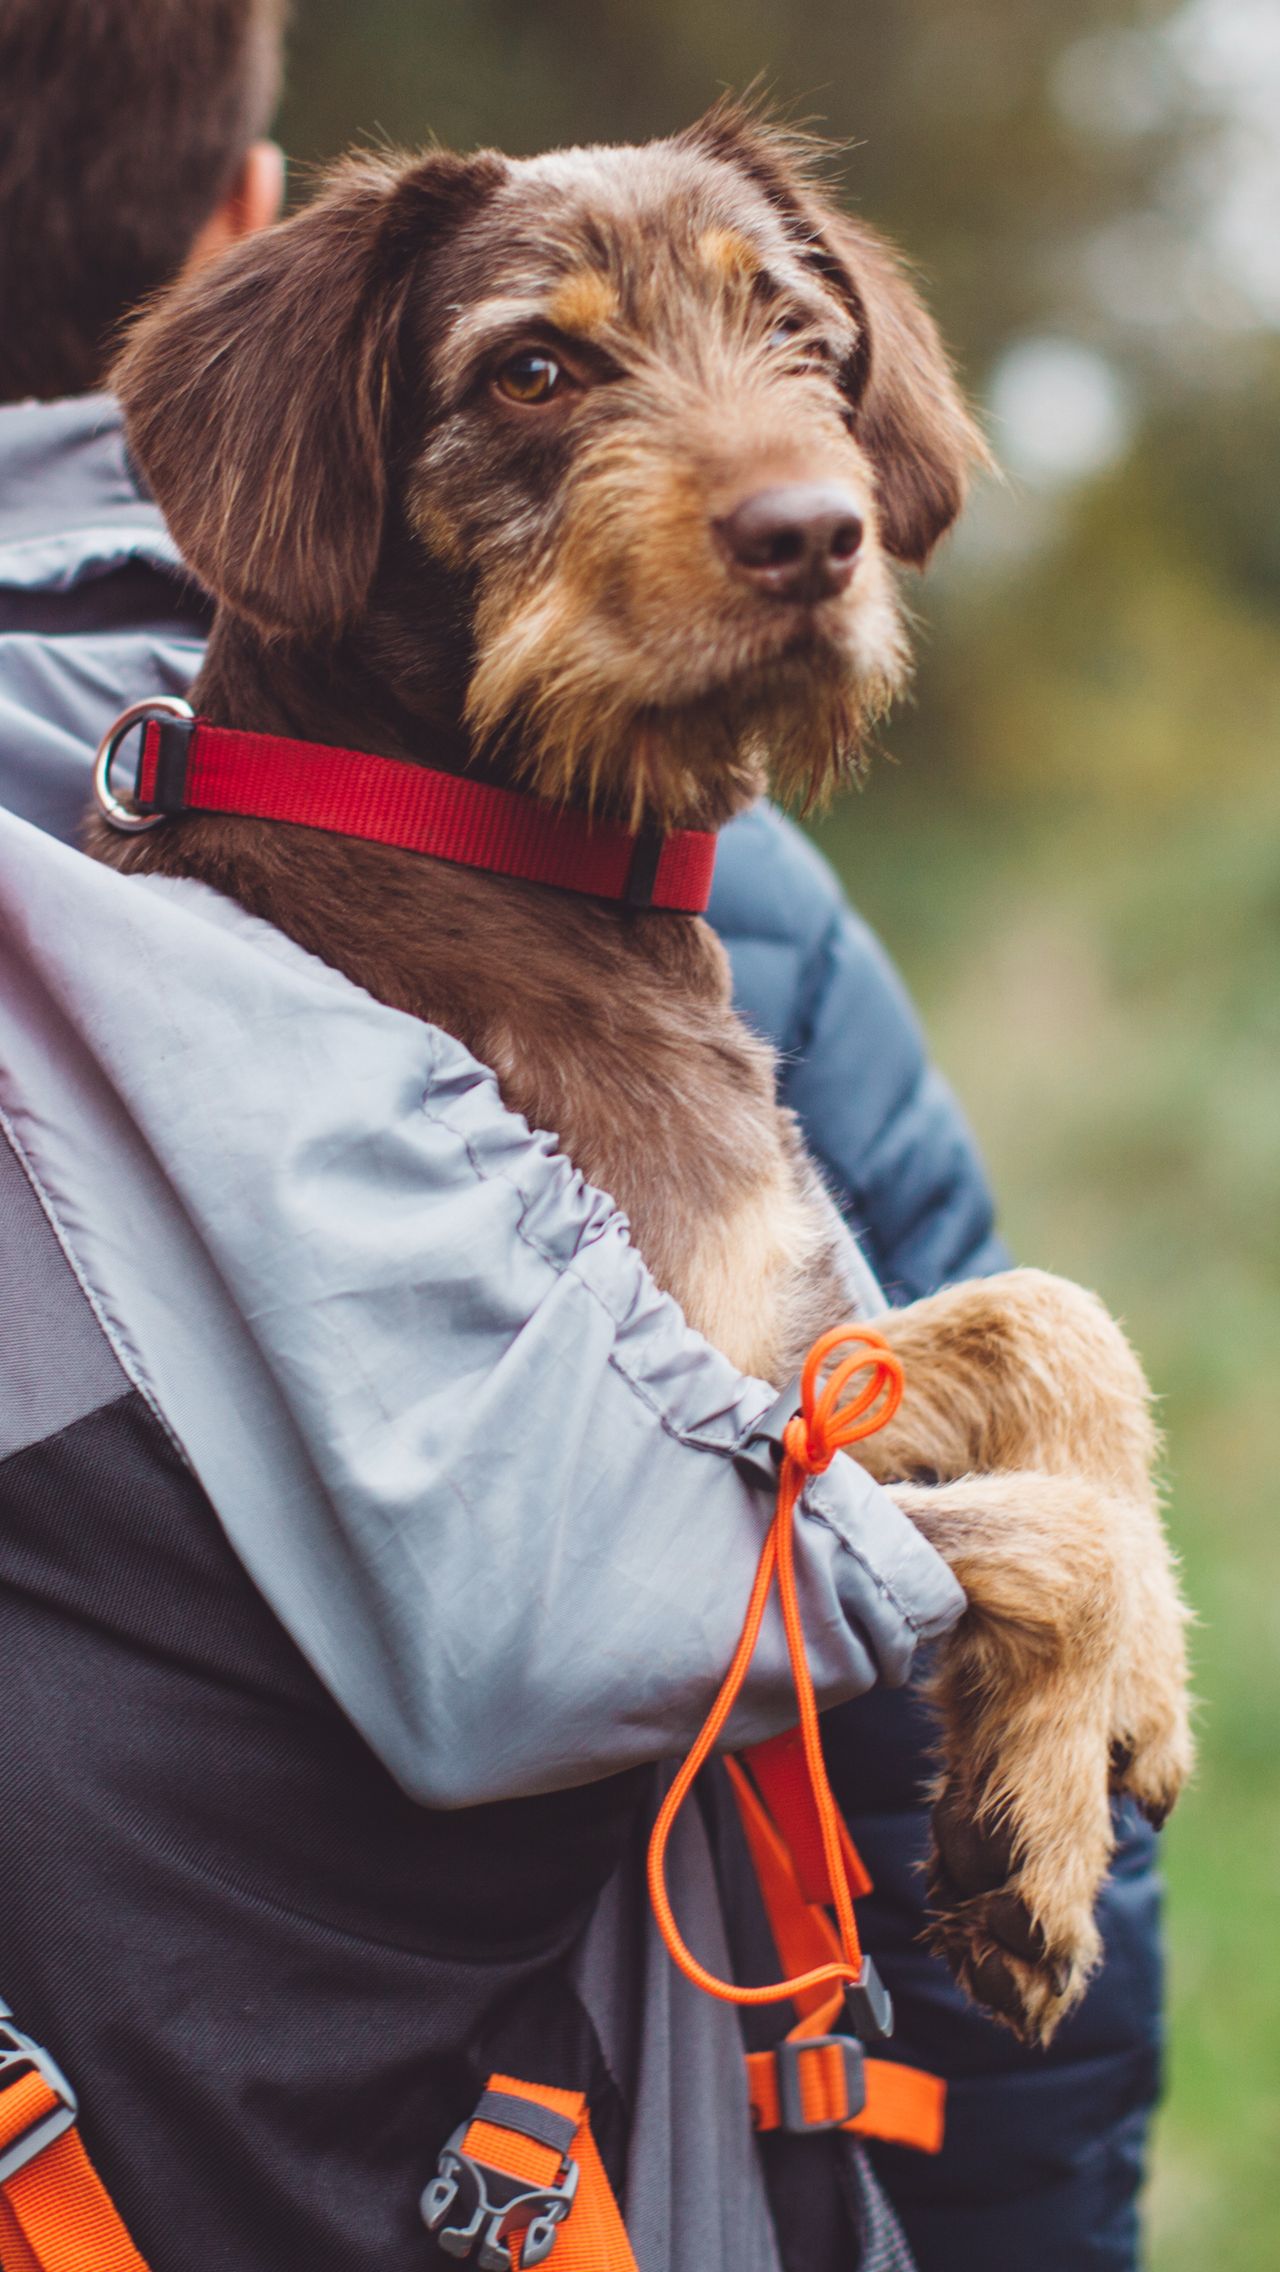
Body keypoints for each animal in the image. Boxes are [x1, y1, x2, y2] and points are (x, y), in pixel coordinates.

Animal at [97, 102, 1191, 2044]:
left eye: (800, 336)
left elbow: (1053, 1319)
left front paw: (1139, 1685)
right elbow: (1050, 1530)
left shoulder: (788, 1344)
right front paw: (1040, 1820)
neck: (497, 839)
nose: (814, 533)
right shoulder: (685, 1462)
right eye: (534, 368)